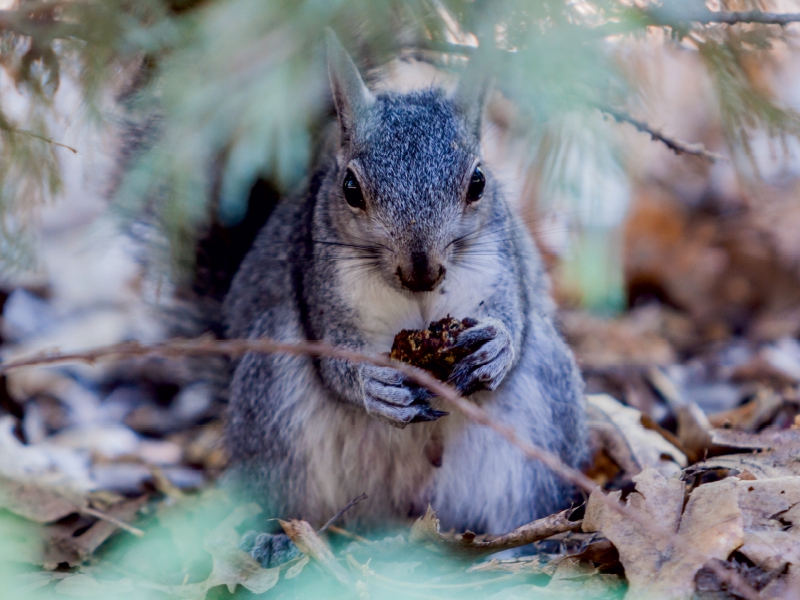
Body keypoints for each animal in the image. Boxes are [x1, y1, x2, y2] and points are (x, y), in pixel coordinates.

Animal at [223, 31, 588, 540]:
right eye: (350, 187)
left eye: (478, 181)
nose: (422, 271)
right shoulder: (318, 283)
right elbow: (333, 358)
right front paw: (373, 384)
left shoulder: (504, 260)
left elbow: (513, 316)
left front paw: (496, 347)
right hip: (272, 402)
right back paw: (274, 540)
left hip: (545, 415)